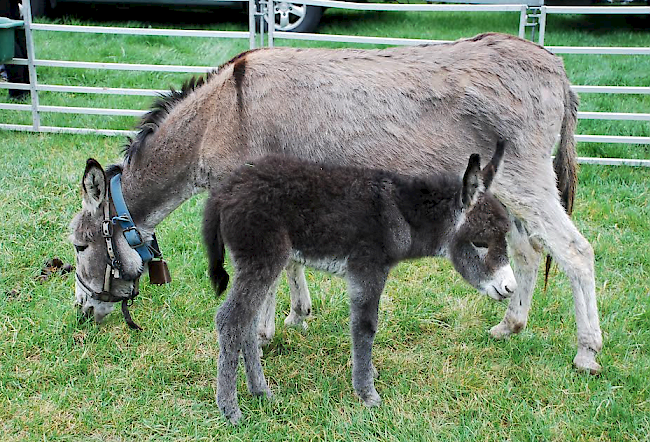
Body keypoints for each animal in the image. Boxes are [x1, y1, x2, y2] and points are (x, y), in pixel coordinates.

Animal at [205, 140, 512, 424]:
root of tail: (224, 191)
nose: (510, 288)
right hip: (263, 257)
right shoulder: (367, 269)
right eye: (480, 243)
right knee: (230, 320)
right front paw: (367, 393)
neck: (403, 215)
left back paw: (260, 392)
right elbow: (365, 327)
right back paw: (230, 409)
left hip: (255, 263)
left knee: (246, 323)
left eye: (506, 237)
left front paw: (368, 375)